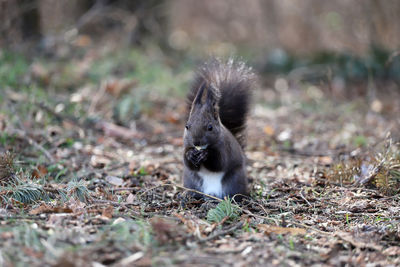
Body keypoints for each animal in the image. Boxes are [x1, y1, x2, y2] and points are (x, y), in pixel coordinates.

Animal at [183, 59, 255, 201]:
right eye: (187, 126)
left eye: (210, 127)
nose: (196, 142)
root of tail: (211, 195)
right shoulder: (186, 145)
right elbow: (187, 162)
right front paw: (191, 154)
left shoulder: (225, 148)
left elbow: (220, 162)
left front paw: (206, 155)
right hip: (191, 181)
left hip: (235, 181)